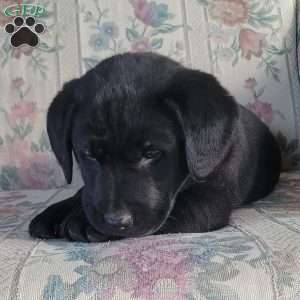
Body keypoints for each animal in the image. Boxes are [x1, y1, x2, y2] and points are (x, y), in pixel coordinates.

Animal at [28, 52, 282, 243]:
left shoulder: (212, 197)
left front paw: (81, 222)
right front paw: (56, 212)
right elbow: (83, 193)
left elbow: (180, 208)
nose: (115, 221)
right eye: (89, 155)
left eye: (151, 153)